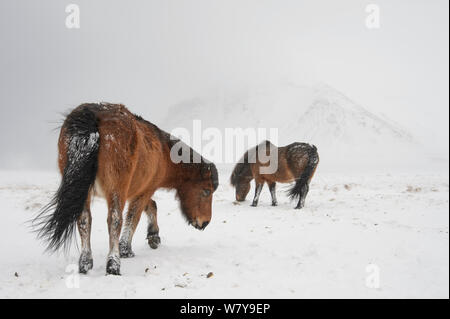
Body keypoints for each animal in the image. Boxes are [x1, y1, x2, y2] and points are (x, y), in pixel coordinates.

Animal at [33, 103, 218, 276]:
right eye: (206, 191)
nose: (205, 222)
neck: (163, 152)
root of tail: (94, 116)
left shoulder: (138, 191)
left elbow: (151, 206)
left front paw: (153, 237)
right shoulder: (143, 191)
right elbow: (134, 217)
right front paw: (126, 249)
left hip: (85, 193)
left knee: (84, 219)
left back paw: (85, 263)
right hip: (116, 189)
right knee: (114, 220)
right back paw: (113, 265)